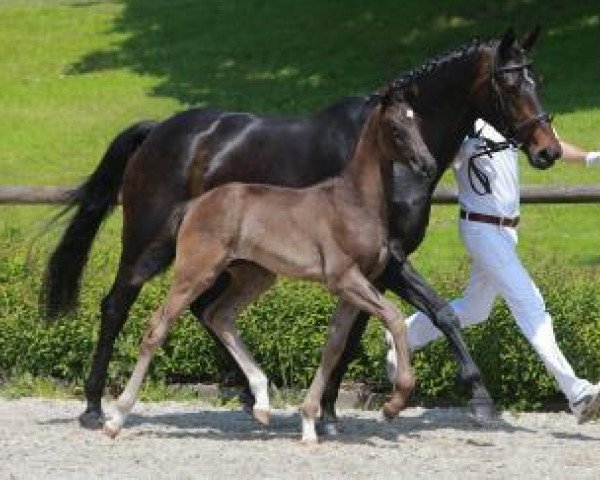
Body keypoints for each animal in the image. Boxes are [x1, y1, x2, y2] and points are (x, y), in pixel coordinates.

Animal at [102, 90, 432, 442]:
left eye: (418, 121)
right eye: (396, 127)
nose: (428, 164)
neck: (353, 202)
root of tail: (193, 205)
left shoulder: (357, 284)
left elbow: (334, 345)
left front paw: (309, 422)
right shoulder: (344, 278)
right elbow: (393, 318)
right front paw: (393, 404)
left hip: (255, 276)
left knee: (218, 316)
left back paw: (261, 401)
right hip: (196, 272)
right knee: (157, 328)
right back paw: (115, 418)